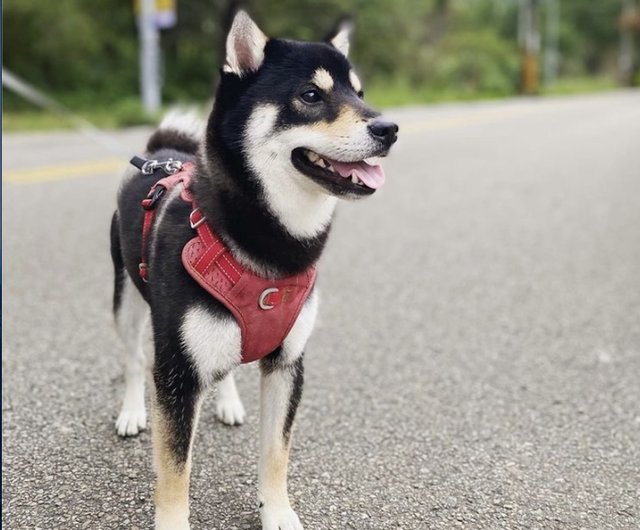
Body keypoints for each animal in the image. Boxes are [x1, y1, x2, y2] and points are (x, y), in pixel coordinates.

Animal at [111, 9, 400, 528]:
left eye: (359, 93)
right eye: (311, 95)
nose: (389, 129)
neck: (272, 249)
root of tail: (164, 153)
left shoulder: (288, 363)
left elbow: (275, 454)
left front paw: (278, 512)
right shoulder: (178, 372)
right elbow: (174, 473)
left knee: (223, 366)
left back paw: (226, 401)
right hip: (126, 301)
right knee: (133, 359)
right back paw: (131, 412)